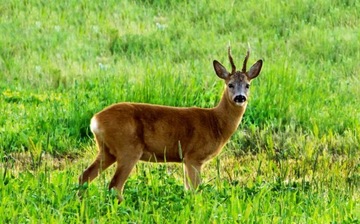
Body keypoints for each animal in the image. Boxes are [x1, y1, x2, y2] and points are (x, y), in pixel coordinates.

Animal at [78, 46, 262, 202]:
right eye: (230, 84)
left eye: (247, 85)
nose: (240, 97)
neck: (216, 123)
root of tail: (95, 120)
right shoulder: (193, 156)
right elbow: (196, 190)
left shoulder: (186, 159)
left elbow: (188, 190)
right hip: (128, 148)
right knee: (115, 185)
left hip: (107, 150)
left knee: (85, 176)